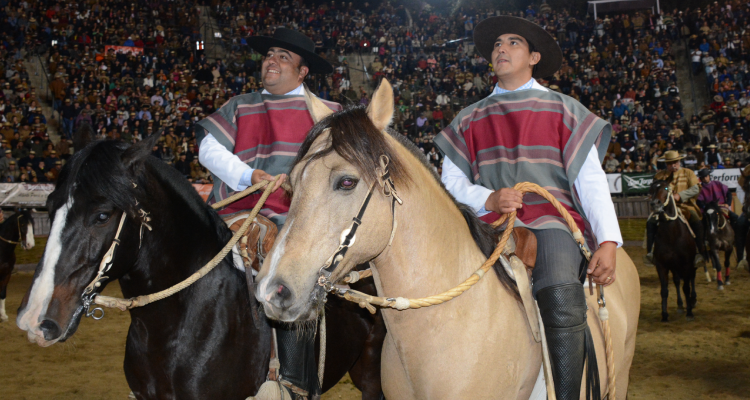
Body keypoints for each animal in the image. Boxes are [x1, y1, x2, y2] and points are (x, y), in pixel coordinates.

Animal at [648, 179, 704, 322]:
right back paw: (680, 305)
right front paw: (664, 314)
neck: (672, 234)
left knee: (691, 278)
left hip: (691, 265)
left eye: (666, 188)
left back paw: (692, 300)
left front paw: (689, 312)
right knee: (677, 281)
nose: (655, 204)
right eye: (652, 189)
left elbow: (686, 287)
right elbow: (664, 290)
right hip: (674, 266)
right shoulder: (662, 265)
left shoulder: (687, 263)